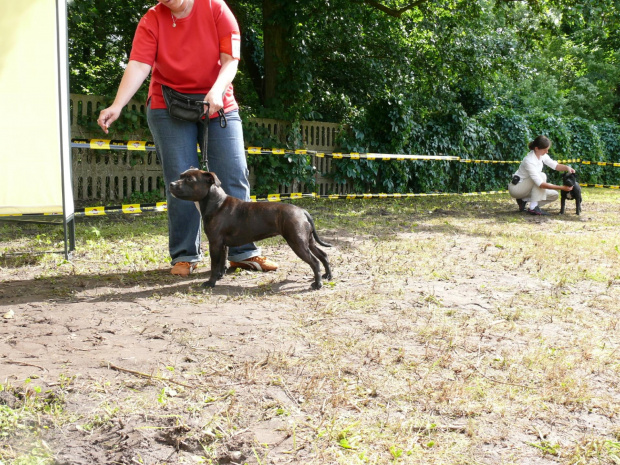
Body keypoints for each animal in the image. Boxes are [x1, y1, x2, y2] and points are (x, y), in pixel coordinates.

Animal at [168, 169, 334, 288]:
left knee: (315, 262)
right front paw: (220, 276)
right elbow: (221, 263)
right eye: (181, 176)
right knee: (323, 255)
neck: (216, 203)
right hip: (308, 241)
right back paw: (328, 276)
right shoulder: (223, 245)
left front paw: (210, 282)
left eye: (189, 180)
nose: (171, 184)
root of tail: (302, 211)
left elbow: (214, 264)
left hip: (297, 243)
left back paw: (317, 284)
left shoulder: (214, 243)